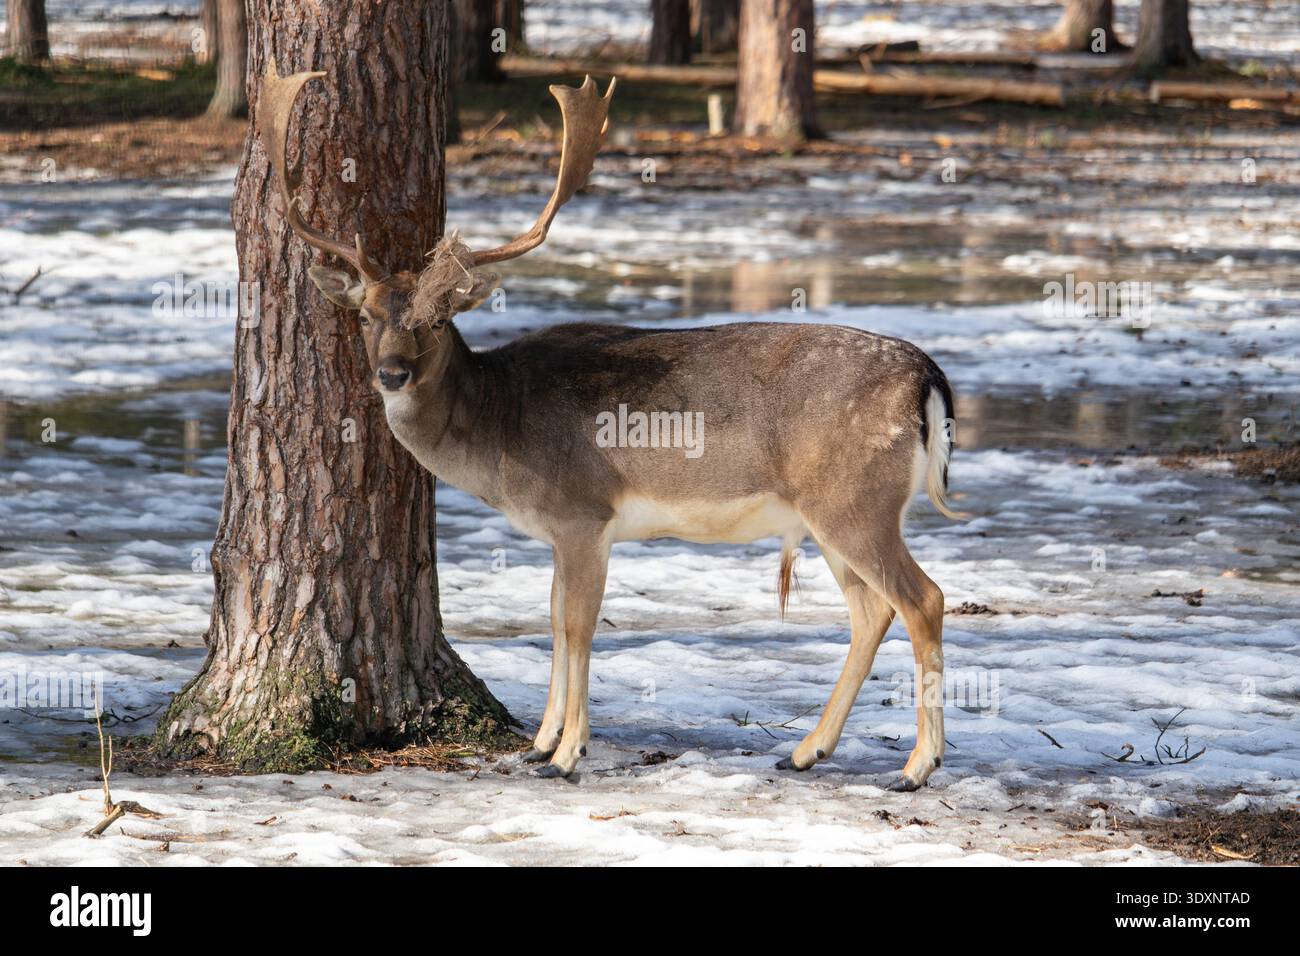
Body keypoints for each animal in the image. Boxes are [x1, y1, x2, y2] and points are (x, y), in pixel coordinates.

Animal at [260, 61, 960, 791]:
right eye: (366, 314)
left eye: (437, 319)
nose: (392, 373)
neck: (500, 427)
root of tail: (926, 377)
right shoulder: (559, 530)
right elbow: (553, 619)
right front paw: (539, 742)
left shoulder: (582, 512)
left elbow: (577, 627)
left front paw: (568, 753)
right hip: (831, 514)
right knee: (871, 609)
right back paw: (806, 750)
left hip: (855, 500)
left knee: (924, 599)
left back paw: (917, 766)